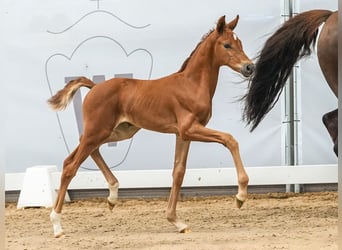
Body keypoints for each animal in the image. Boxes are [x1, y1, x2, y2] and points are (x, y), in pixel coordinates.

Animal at [47, 14, 254, 237]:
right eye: (227, 45)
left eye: (240, 43)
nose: (249, 67)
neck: (191, 85)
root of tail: (94, 87)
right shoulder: (189, 129)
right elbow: (230, 139)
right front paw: (240, 196)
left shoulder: (183, 135)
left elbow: (178, 173)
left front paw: (176, 221)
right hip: (98, 131)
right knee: (71, 166)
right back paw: (57, 225)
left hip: (117, 132)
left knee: (77, 155)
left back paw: (112, 196)